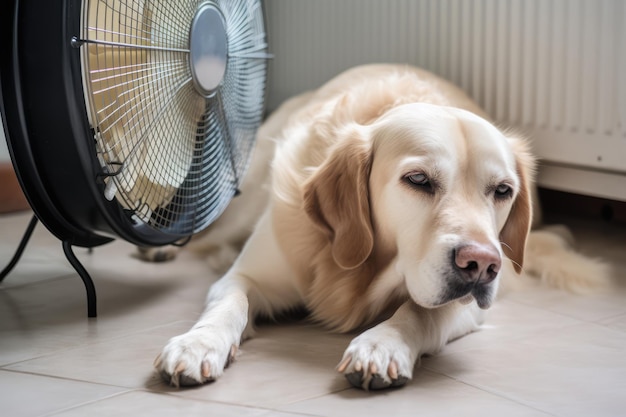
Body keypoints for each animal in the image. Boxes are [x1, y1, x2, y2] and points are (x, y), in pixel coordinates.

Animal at [152, 63, 608, 388]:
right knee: (203, 228)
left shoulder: (464, 305)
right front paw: (196, 344)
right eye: (418, 180)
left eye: (502, 191)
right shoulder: (247, 276)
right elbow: (230, 303)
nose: (481, 265)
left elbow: (420, 312)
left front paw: (382, 345)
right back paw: (158, 247)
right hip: (243, 194)